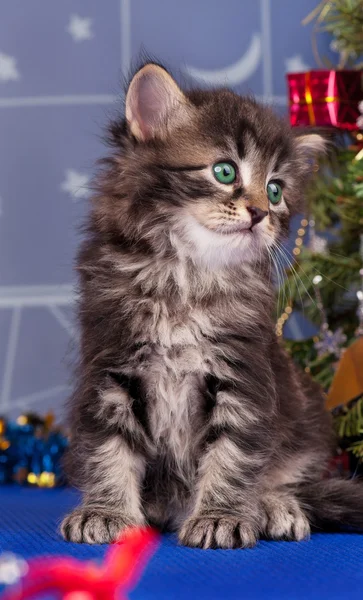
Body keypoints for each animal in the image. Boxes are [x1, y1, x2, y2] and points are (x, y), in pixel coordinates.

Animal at [61, 62, 363, 548]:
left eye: (275, 191)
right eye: (224, 171)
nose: (260, 213)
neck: (186, 277)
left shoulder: (244, 373)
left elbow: (232, 455)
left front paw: (221, 517)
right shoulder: (109, 364)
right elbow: (109, 447)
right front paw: (105, 511)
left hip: (307, 416)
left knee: (289, 477)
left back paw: (274, 506)